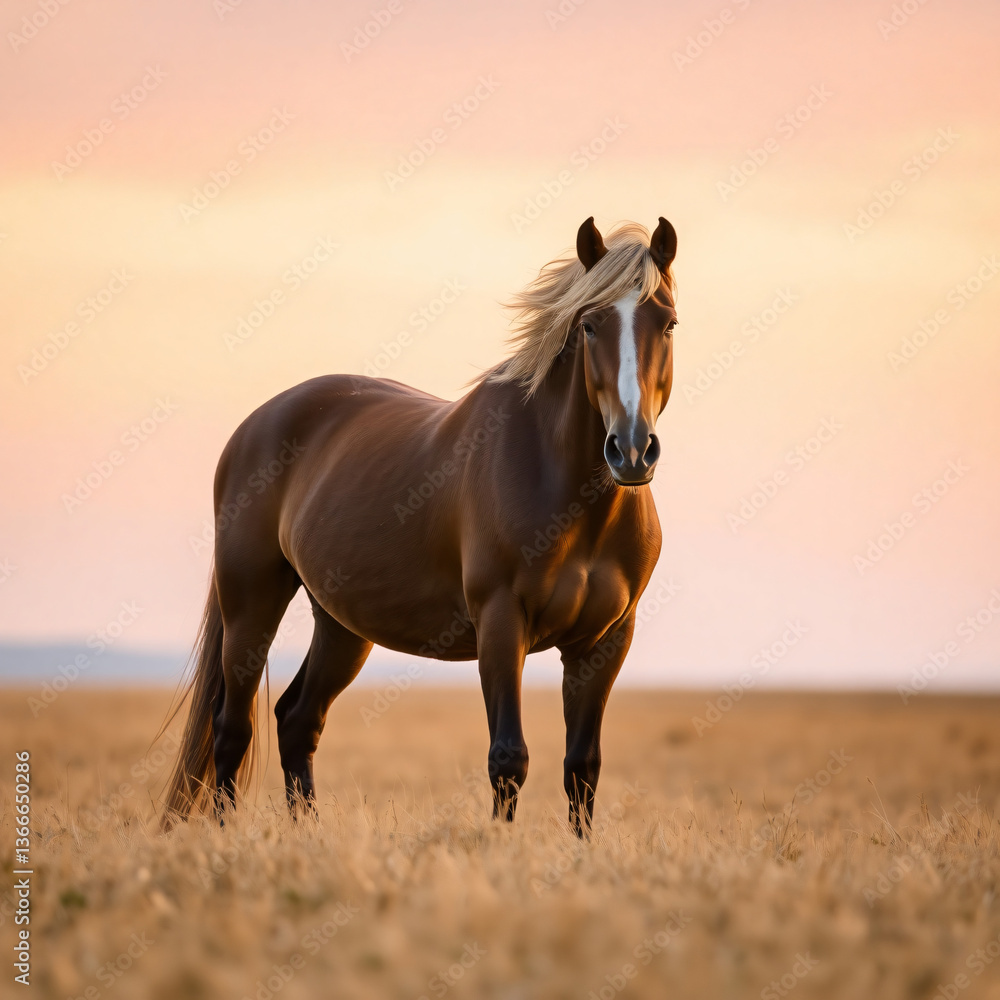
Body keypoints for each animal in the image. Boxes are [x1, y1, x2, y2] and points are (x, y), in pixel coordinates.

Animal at [163, 216, 678, 836]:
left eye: (669, 322)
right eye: (590, 324)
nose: (631, 450)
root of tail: (255, 424)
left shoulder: (604, 640)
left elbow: (582, 766)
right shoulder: (501, 621)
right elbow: (508, 756)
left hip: (342, 625)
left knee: (297, 719)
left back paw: (306, 832)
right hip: (251, 603)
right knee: (232, 727)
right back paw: (227, 837)